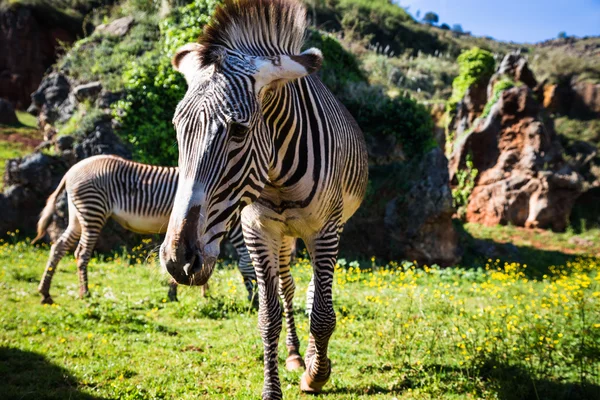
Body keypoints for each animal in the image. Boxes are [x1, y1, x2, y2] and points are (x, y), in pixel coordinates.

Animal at [31, 155, 255, 304]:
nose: (254, 304)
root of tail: (72, 170)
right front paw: (177, 294)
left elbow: (203, 262)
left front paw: (203, 293)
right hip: (93, 210)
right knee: (81, 252)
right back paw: (84, 292)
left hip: (78, 215)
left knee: (59, 247)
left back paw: (45, 292)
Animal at [157, 1, 368, 398]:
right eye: (177, 128)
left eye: (239, 130)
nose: (179, 259)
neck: (277, 176)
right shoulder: (257, 229)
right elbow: (268, 315)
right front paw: (276, 386)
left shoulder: (325, 230)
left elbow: (323, 313)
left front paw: (317, 375)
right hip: (283, 236)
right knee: (289, 288)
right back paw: (295, 355)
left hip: (327, 229)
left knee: (315, 293)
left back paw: (311, 360)